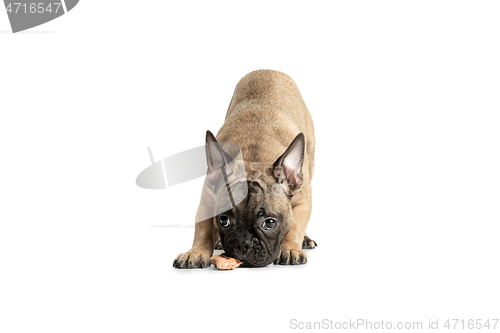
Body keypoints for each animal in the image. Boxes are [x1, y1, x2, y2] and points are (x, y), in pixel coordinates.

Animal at [174, 69, 314, 268]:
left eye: (269, 223)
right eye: (223, 220)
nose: (242, 243)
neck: (255, 160)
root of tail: (268, 70)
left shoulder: (303, 200)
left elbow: (294, 227)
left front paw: (289, 248)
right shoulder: (207, 201)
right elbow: (203, 231)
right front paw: (196, 252)